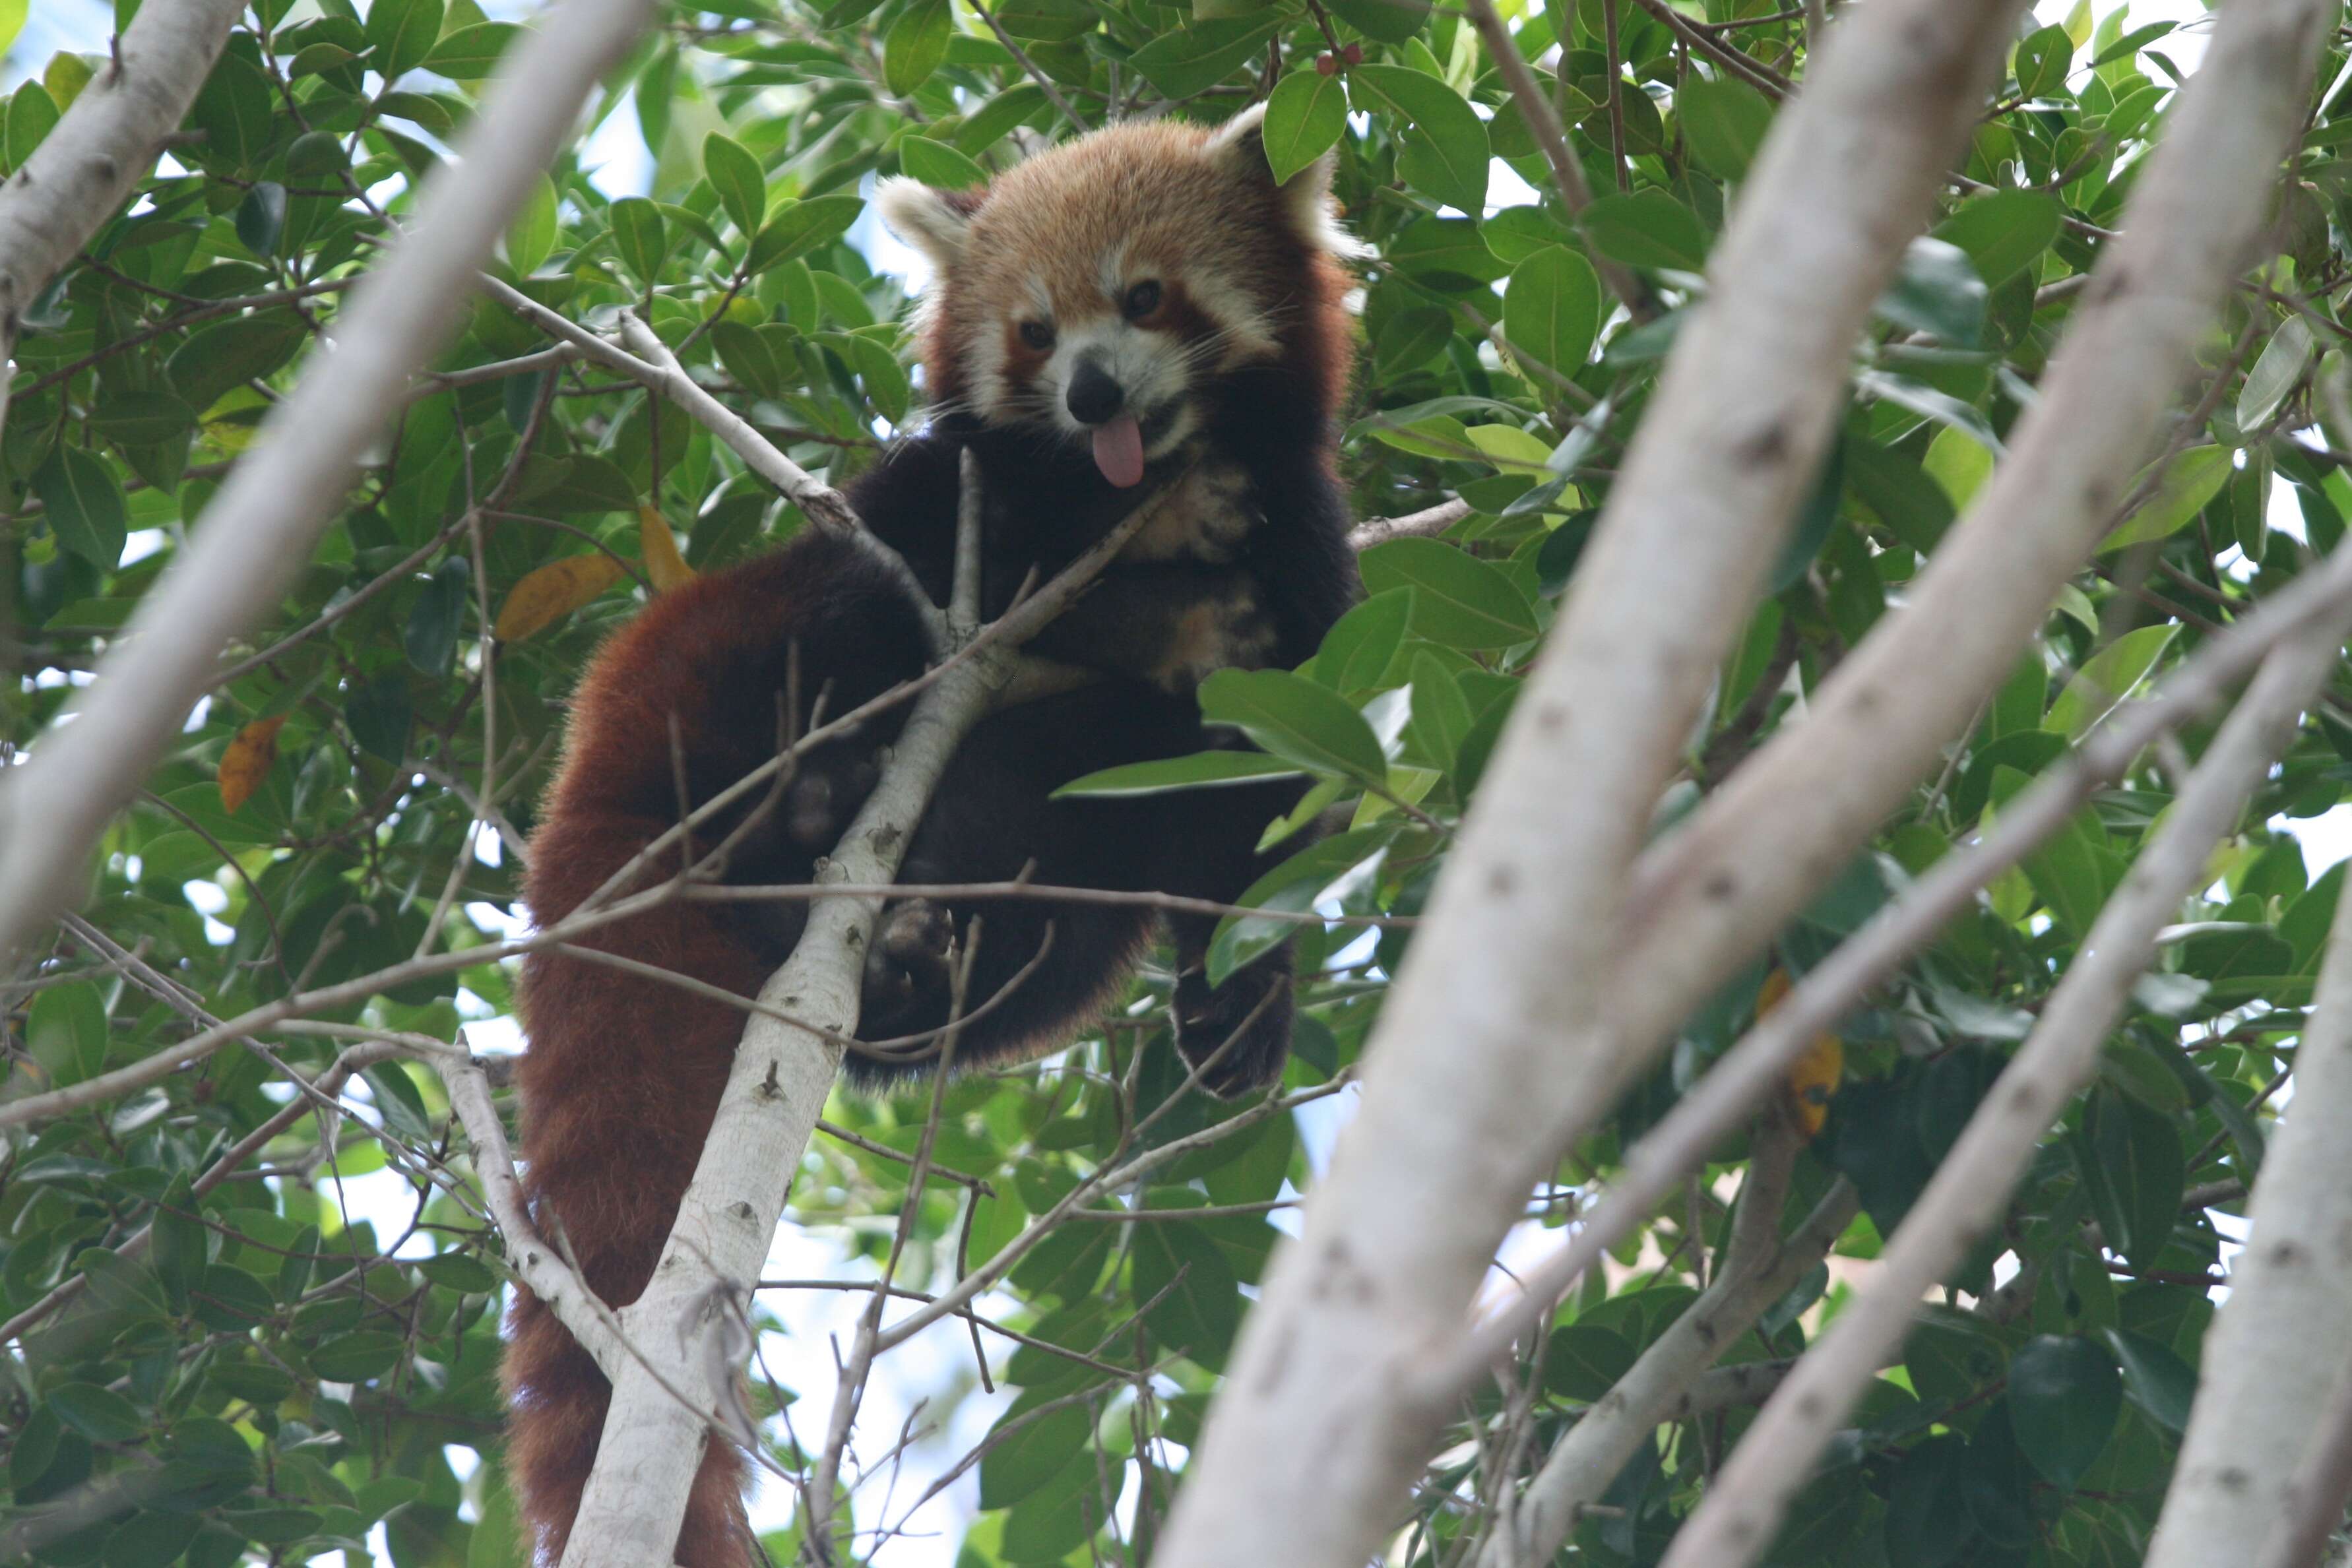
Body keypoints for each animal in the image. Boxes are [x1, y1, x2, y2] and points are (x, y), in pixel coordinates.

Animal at [505, 108, 1373, 1568]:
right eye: (1032, 331)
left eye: (1145, 297)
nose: (1092, 394)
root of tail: (586, 771)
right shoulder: (978, 485)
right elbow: (978, 526)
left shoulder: (1303, 575)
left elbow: (1256, 820)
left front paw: (1238, 1009)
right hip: (714, 646)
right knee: (858, 604)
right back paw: (811, 794)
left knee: (1045, 927)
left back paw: (903, 944)